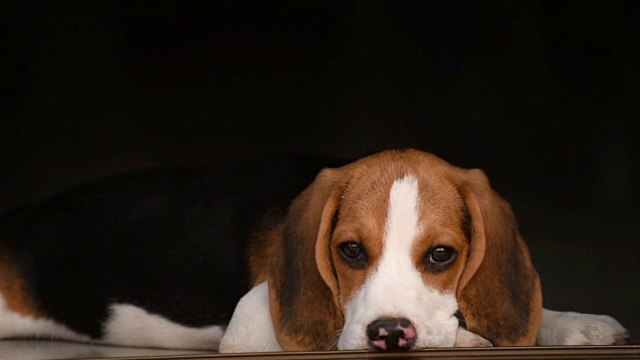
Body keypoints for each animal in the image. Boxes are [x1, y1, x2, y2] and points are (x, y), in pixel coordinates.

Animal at [0, 148, 632, 352]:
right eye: (349, 251)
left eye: (441, 256)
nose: (390, 334)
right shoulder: (251, 330)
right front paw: (466, 338)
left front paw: (576, 324)